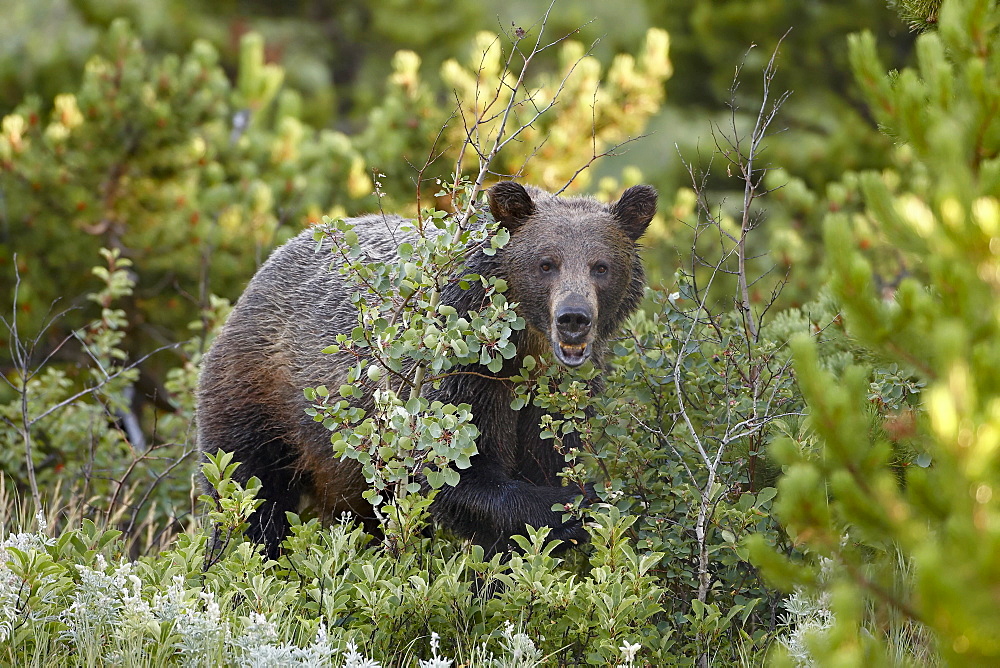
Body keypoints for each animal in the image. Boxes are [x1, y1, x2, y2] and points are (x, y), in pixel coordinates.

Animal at [199, 181, 660, 560]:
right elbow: (454, 473)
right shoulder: (459, 375)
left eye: (601, 266)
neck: (526, 351)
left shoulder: (556, 399)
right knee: (248, 493)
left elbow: (549, 455)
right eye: (546, 263)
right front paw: (578, 507)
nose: (573, 318)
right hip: (261, 396)